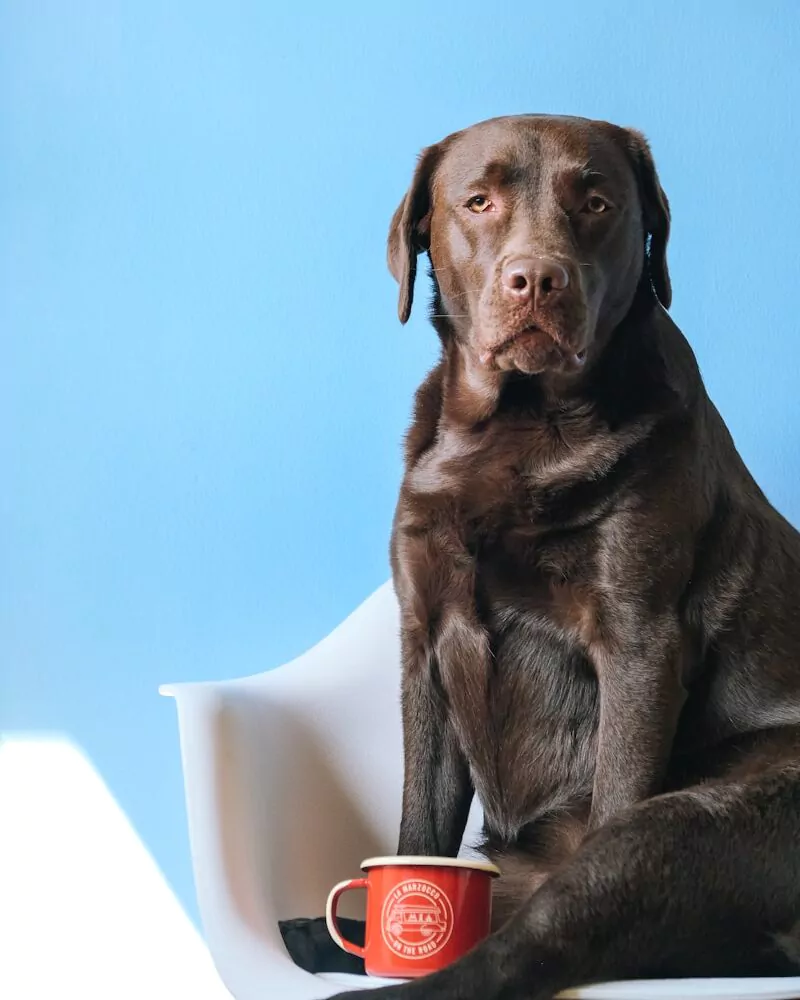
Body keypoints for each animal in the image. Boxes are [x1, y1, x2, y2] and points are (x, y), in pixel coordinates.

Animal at [328, 113, 800, 996]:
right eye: (478, 201)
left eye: (597, 202)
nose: (536, 280)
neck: (517, 428)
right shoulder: (424, 639)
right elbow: (417, 826)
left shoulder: (639, 640)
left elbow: (618, 778)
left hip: (689, 818)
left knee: (543, 934)